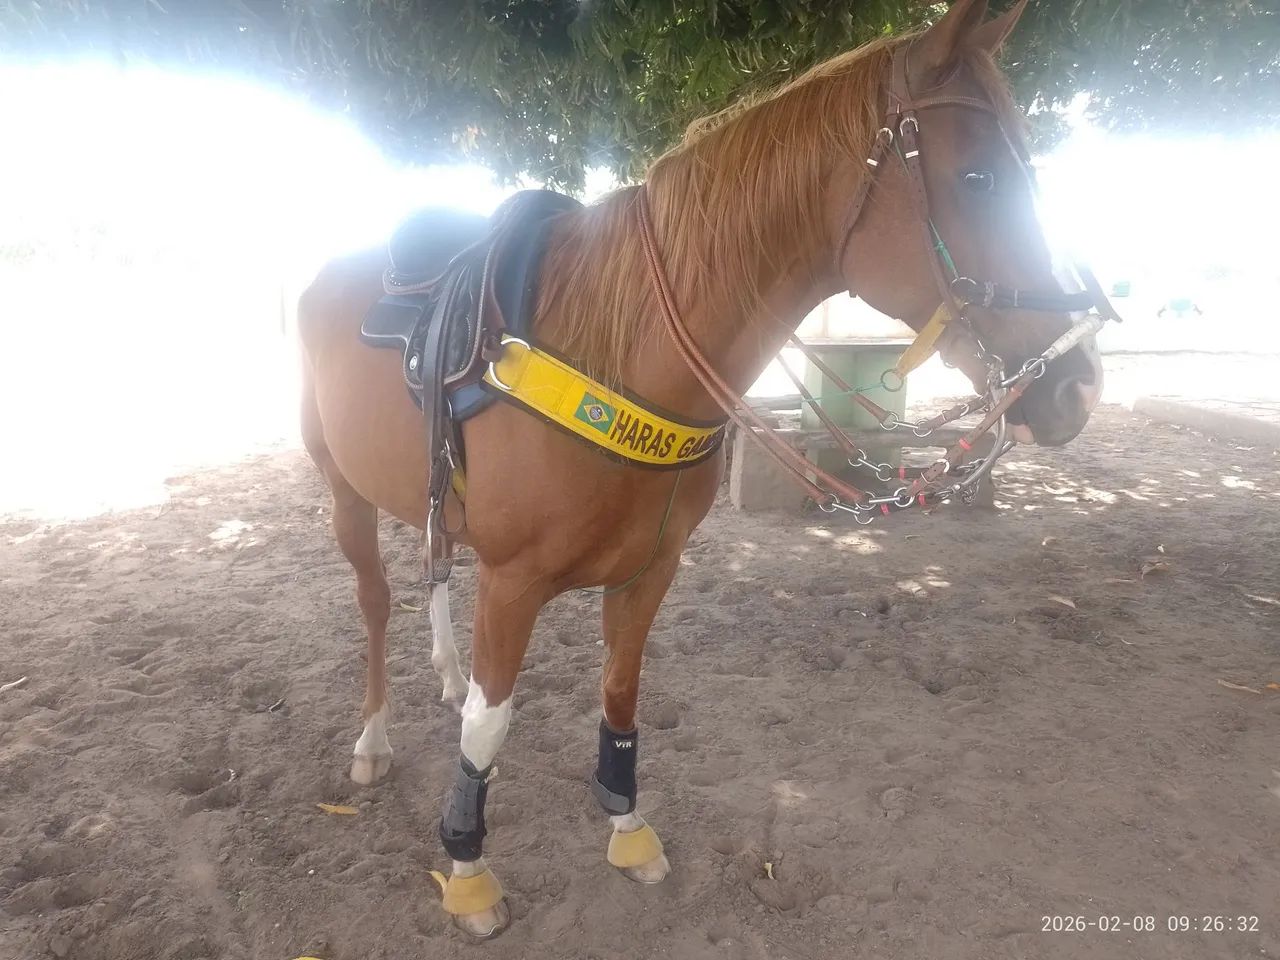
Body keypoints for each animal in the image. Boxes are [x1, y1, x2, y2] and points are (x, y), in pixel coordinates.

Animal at [297, 0, 1105, 938]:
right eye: (979, 179)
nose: (1077, 382)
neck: (615, 350)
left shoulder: (650, 569)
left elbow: (618, 693)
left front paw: (627, 827)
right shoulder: (513, 582)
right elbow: (488, 729)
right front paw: (467, 869)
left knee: (432, 573)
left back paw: (444, 673)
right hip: (344, 494)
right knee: (376, 602)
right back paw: (373, 740)